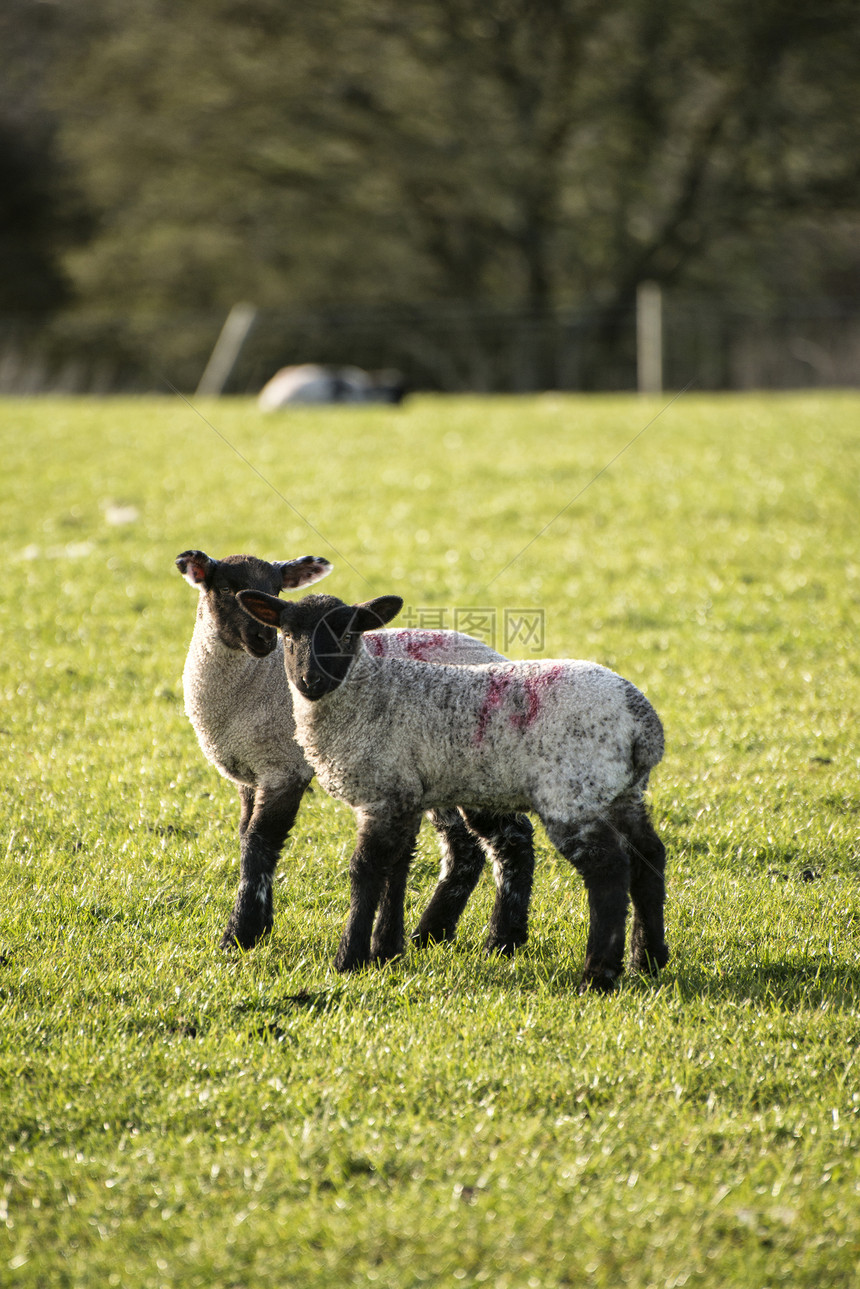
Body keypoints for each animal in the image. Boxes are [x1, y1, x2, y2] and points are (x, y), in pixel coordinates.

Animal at [177, 549, 533, 953]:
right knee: (464, 847)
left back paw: (502, 941)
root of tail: (502, 659)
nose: (262, 639)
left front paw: (241, 932)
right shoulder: (249, 775)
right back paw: (431, 933)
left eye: (277, 588)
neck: (248, 686)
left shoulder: (283, 767)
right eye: (224, 588)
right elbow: (245, 837)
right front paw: (257, 924)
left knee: (512, 840)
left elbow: (260, 841)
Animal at [237, 590, 670, 989]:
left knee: (608, 872)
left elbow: (365, 870)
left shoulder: (383, 793)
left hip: (573, 792)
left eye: (347, 634)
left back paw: (598, 975)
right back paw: (647, 959)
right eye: (288, 634)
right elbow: (396, 868)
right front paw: (385, 952)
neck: (369, 695)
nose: (310, 681)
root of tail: (643, 723)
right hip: (622, 794)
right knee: (649, 857)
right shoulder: (404, 795)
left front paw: (350, 958)